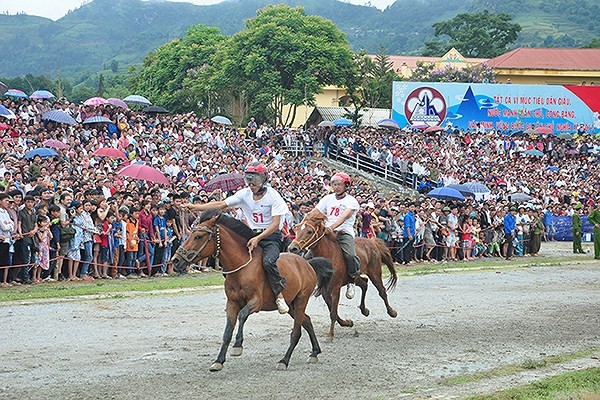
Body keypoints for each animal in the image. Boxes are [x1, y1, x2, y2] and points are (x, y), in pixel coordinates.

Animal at [171, 209, 336, 372]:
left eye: (198, 236)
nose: (175, 260)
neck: (242, 267)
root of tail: (307, 264)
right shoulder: (232, 303)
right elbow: (227, 331)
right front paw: (218, 361)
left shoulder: (256, 302)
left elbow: (242, 315)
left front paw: (237, 346)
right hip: (291, 305)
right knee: (306, 321)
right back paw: (314, 352)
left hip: (301, 300)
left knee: (297, 331)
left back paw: (284, 360)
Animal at [288, 209, 398, 338]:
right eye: (296, 229)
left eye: (309, 231)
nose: (293, 248)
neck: (328, 256)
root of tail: (372, 242)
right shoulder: (325, 289)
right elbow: (333, 310)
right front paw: (347, 323)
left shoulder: (335, 288)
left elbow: (333, 312)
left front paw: (330, 334)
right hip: (356, 276)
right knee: (364, 283)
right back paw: (364, 310)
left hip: (375, 273)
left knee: (382, 291)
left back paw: (392, 312)